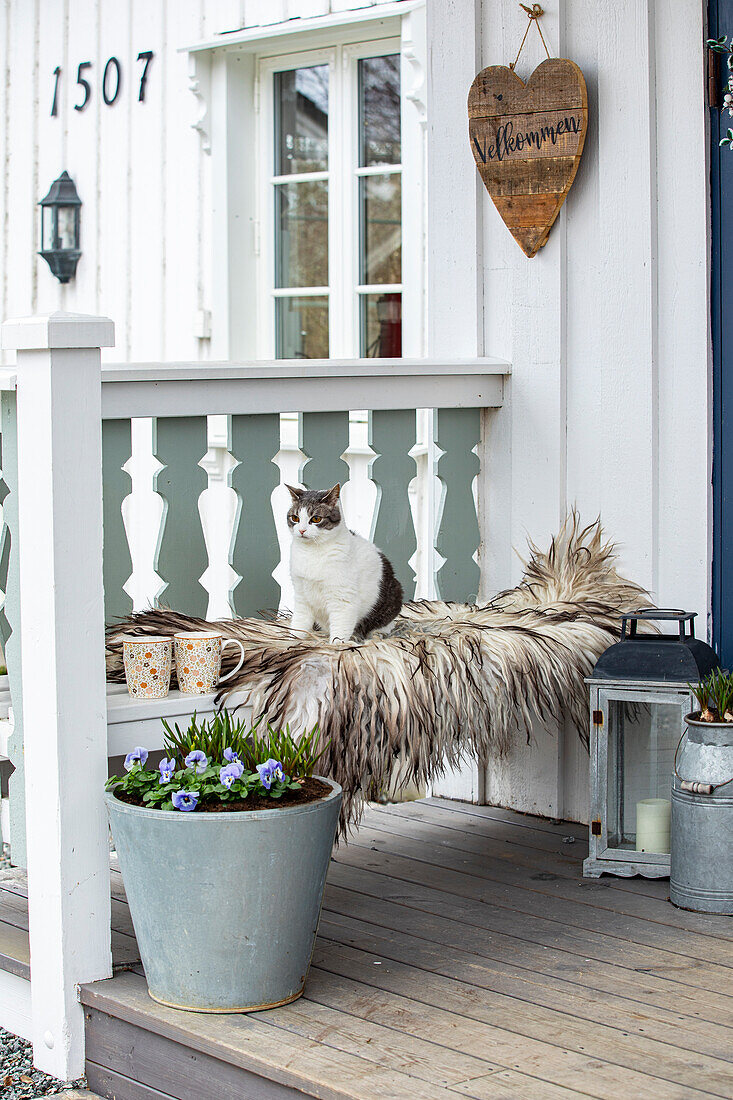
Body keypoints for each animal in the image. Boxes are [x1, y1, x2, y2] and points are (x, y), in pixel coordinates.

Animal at [286, 484, 402, 642]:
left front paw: (336, 645)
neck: (311, 553)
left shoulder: (342, 600)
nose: (302, 530)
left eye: (316, 519)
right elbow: (299, 624)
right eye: (295, 517)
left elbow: (339, 632)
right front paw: (291, 641)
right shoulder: (301, 596)